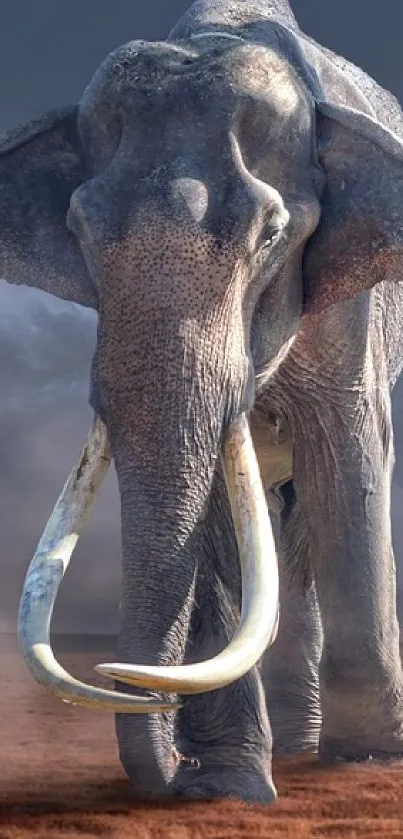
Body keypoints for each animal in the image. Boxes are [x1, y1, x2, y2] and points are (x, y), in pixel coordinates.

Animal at [4, 0, 403, 804]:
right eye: (78, 233)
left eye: (273, 235)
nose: (173, 781)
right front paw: (226, 785)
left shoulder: (353, 309)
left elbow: (346, 458)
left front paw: (369, 762)